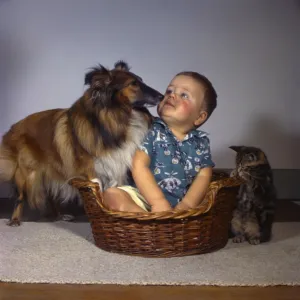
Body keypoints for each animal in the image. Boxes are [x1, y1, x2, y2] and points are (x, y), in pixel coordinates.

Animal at [0, 60, 163, 225]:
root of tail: (13, 127)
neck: (113, 120)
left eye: (141, 80)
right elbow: (99, 194)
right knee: (20, 197)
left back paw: (60, 216)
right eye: (133, 84)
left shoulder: (115, 167)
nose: (162, 96)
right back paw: (15, 220)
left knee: (52, 196)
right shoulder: (91, 172)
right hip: (26, 173)